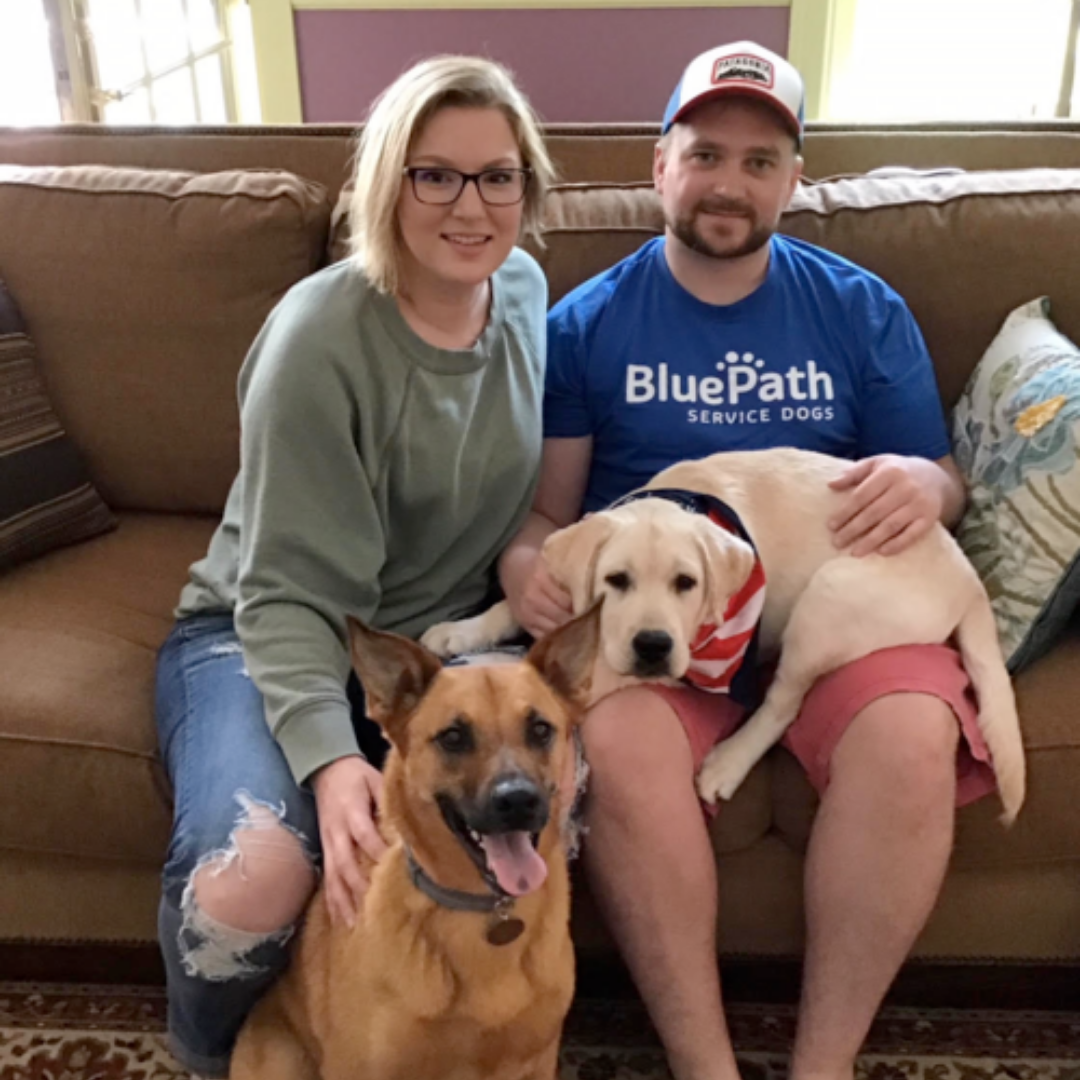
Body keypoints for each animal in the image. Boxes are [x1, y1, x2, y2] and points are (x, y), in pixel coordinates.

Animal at [421, 447, 1025, 824]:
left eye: (686, 584)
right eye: (616, 581)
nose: (653, 646)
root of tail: (968, 578)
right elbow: (514, 604)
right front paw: (460, 630)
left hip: (827, 601)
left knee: (782, 703)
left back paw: (727, 763)